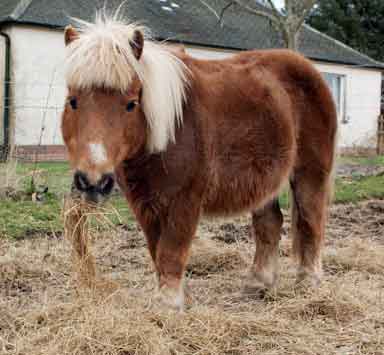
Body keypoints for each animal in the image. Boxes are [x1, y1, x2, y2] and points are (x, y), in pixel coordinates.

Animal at [61, 13, 338, 308]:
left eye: (131, 104)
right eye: (73, 101)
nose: (92, 182)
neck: (171, 129)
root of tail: (307, 68)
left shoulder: (186, 201)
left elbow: (171, 251)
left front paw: (169, 303)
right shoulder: (144, 204)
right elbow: (157, 251)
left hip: (310, 174)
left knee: (311, 222)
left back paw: (308, 282)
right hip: (265, 181)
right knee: (269, 225)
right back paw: (258, 283)